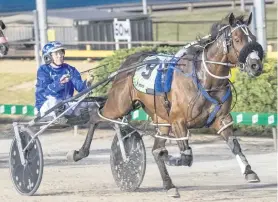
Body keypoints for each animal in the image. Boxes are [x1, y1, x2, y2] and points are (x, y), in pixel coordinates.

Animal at [67, 12, 262, 196]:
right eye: (237, 39)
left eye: (253, 38)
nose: (255, 65)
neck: (204, 79)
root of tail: (128, 62)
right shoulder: (178, 121)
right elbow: (185, 156)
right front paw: (171, 157)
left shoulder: (221, 118)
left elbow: (234, 144)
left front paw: (249, 172)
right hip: (119, 104)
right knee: (96, 116)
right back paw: (78, 153)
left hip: (161, 119)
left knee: (155, 148)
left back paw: (169, 186)